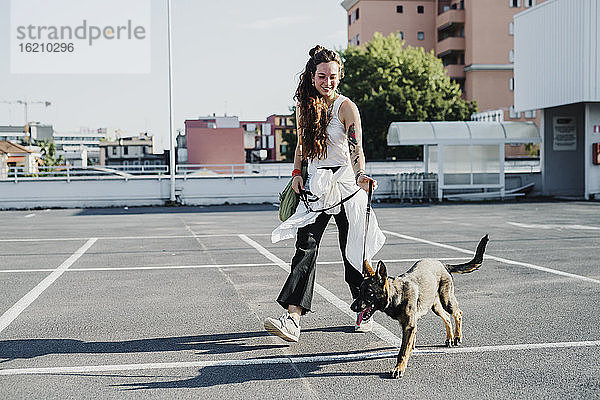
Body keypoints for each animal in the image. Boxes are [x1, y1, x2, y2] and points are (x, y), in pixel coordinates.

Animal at [352, 234, 488, 378]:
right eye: (359, 291)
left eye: (369, 292)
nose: (352, 307)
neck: (397, 294)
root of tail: (443, 264)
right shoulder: (410, 325)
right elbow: (408, 345)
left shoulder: (409, 326)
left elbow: (403, 351)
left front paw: (399, 368)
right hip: (435, 306)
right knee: (446, 317)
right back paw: (450, 338)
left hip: (446, 300)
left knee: (458, 313)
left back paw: (457, 337)